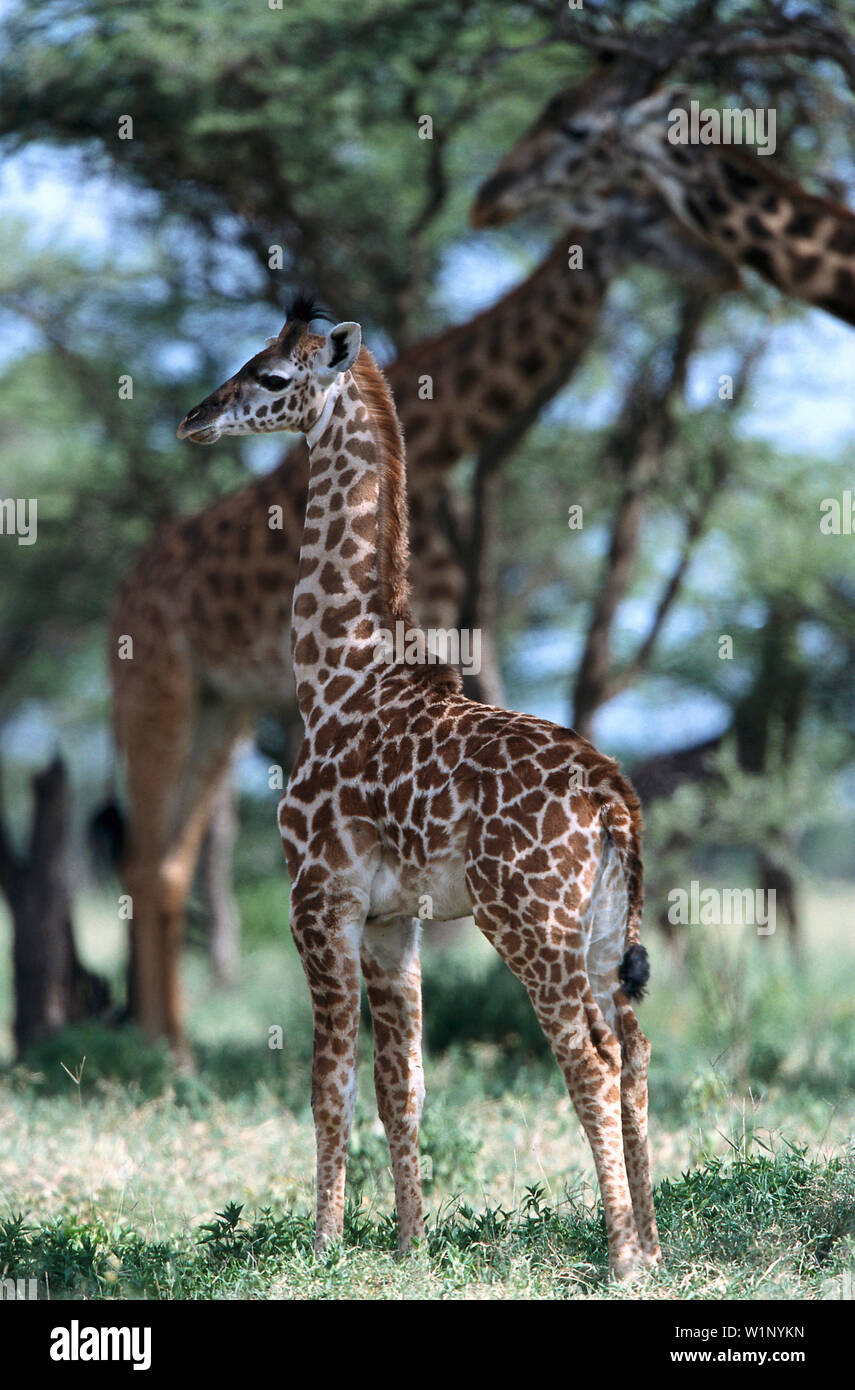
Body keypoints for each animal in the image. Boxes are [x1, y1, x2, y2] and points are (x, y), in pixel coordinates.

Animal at [176, 300, 661, 1279]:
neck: (336, 675)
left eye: (271, 375)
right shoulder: (392, 921)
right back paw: (657, 1249)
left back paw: (621, 1258)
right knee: (631, 1050)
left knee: (587, 1059)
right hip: (601, 928)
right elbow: (404, 1086)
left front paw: (323, 1247)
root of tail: (611, 797)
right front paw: (410, 1244)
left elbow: (327, 1081)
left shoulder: (318, 898)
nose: (195, 416)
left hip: (527, 922)